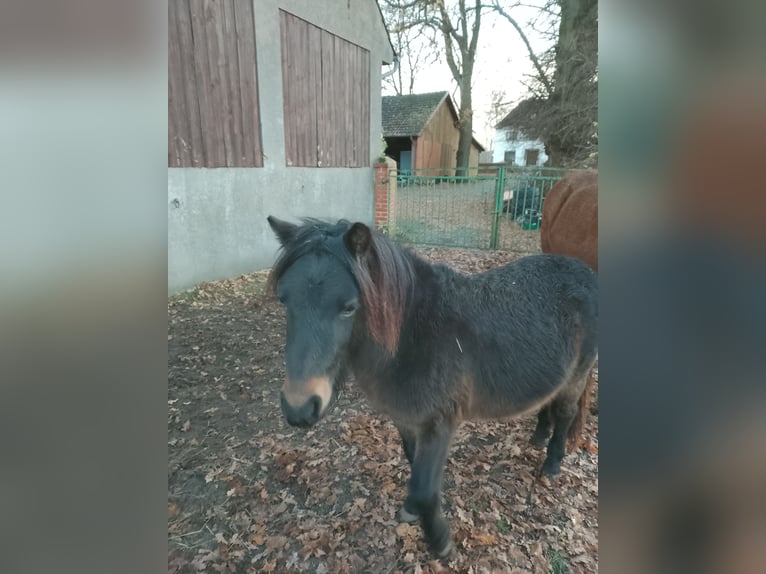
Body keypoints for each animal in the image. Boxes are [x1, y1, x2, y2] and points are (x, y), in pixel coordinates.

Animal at [266, 216, 598, 557]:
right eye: (283, 299)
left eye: (348, 306)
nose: (299, 406)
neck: (415, 336)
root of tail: (585, 271)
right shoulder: (406, 420)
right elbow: (415, 467)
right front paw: (413, 511)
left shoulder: (439, 424)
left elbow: (425, 489)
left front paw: (440, 542)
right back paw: (539, 435)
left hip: (577, 375)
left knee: (566, 413)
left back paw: (553, 463)